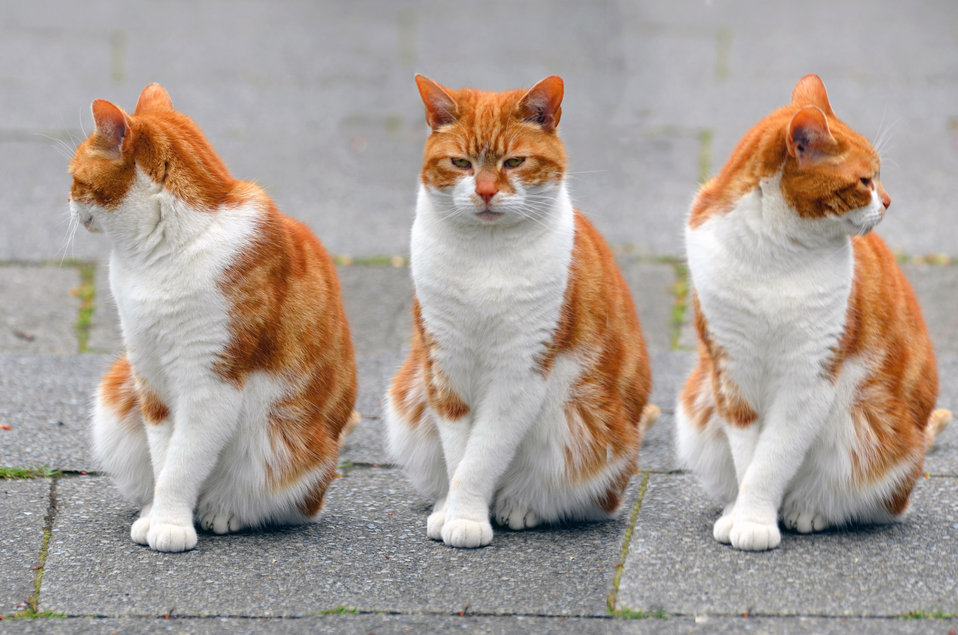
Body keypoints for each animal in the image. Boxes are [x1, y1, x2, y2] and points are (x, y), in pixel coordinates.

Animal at [69, 83, 358, 552]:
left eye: (74, 178)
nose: (69, 203)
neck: (157, 253)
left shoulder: (211, 382)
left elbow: (183, 463)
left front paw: (169, 524)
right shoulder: (150, 378)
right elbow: (164, 458)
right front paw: (158, 515)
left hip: (291, 451)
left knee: (277, 503)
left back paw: (223, 512)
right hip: (118, 389)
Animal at [386, 74, 656, 548]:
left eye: (514, 162)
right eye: (460, 162)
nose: (485, 191)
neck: (486, 255)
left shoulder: (520, 371)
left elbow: (482, 454)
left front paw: (467, 519)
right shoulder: (445, 367)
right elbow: (458, 455)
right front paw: (455, 512)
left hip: (590, 439)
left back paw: (519, 506)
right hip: (409, 398)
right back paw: (444, 505)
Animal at [684, 73, 952, 552]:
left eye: (878, 178)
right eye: (865, 180)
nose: (888, 202)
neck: (772, 254)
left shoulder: (809, 378)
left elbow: (772, 458)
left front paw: (755, 521)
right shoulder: (731, 373)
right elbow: (748, 458)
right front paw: (744, 515)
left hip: (875, 442)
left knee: (866, 502)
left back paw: (809, 510)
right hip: (697, 407)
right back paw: (734, 508)